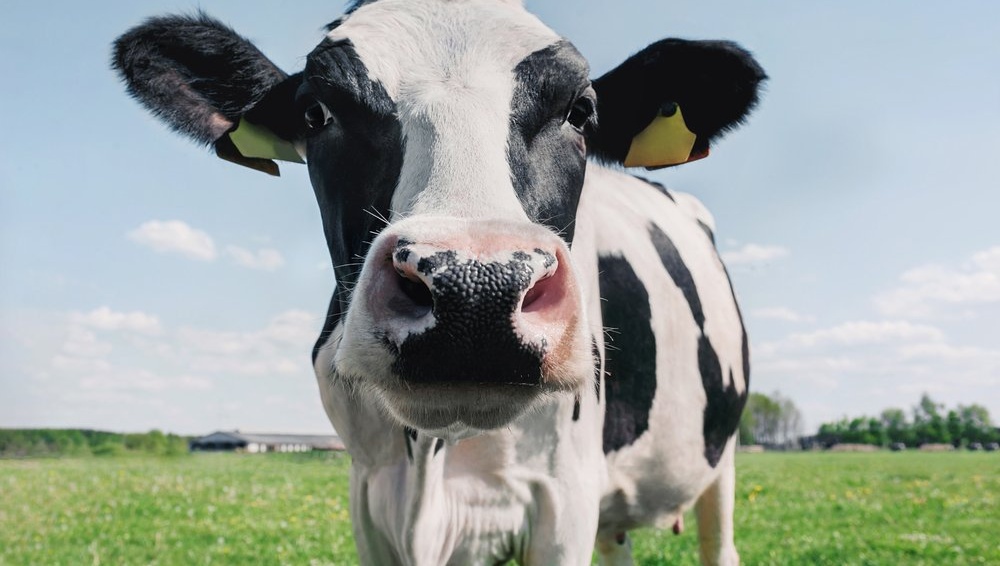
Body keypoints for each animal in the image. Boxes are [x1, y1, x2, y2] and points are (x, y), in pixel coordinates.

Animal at [112, 1, 765, 564]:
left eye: (580, 111)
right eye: (316, 112)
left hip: (721, 459)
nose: (476, 290)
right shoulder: (370, 495)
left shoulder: (564, 497)